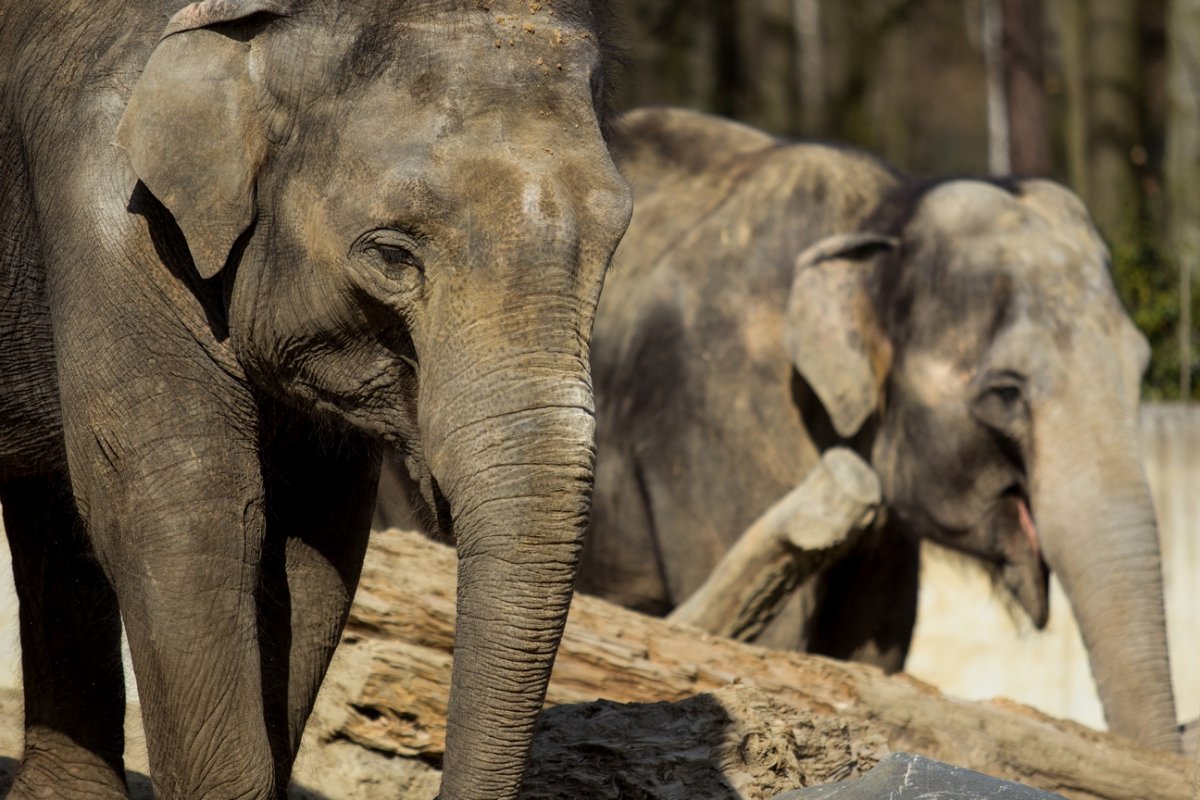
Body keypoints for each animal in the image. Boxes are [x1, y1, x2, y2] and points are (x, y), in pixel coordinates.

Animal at [573, 109, 1180, 753]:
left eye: (1141, 369)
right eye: (1005, 393)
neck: (883, 215)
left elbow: (869, 654)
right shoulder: (719, 415)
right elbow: (767, 640)